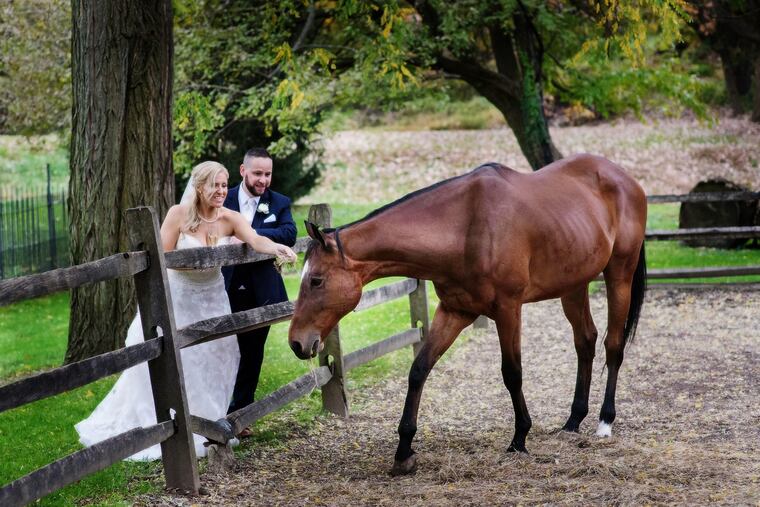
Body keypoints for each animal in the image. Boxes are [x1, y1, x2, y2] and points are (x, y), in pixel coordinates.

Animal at [288, 153, 647, 476]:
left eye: (316, 280)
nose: (296, 343)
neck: (464, 227)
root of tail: (625, 179)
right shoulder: (455, 311)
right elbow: (418, 370)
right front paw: (403, 452)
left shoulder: (508, 309)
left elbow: (512, 373)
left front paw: (520, 437)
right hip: (573, 285)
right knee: (585, 341)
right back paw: (573, 420)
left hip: (619, 275)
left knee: (613, 346)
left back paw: (604, 421)